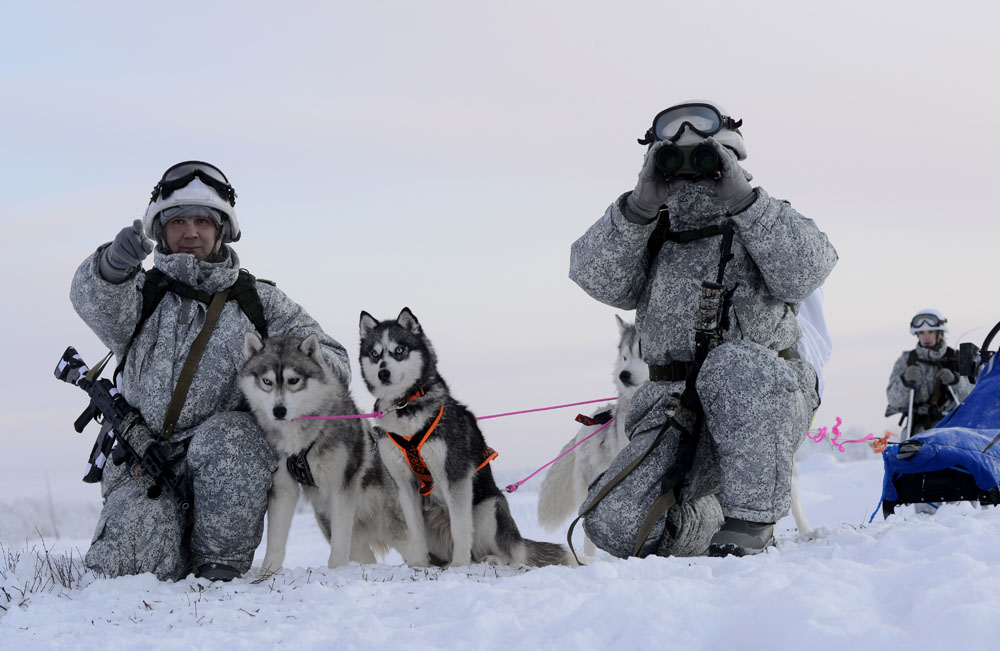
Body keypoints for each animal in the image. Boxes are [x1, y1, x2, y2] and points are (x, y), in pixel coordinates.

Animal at [238, 334, 410, 572]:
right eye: (266, 381)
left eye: (294, 380)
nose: (279, 411)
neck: (301, 439)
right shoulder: (283, 487)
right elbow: (275, 541)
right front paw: (267, 574)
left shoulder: (341, 488)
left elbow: (339, 543)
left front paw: (335, 570)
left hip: (401, 528)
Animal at [360, 308, 580, 568]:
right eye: (375, 354)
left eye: (399, 350)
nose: (383, 373)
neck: (405, 407)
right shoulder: (404, 485)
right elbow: (415, 532)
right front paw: (418, 564)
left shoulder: (455, 475)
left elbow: (461, 529)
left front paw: (459, 565)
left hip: (488, 508)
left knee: (511, 555)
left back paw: (489, 559)